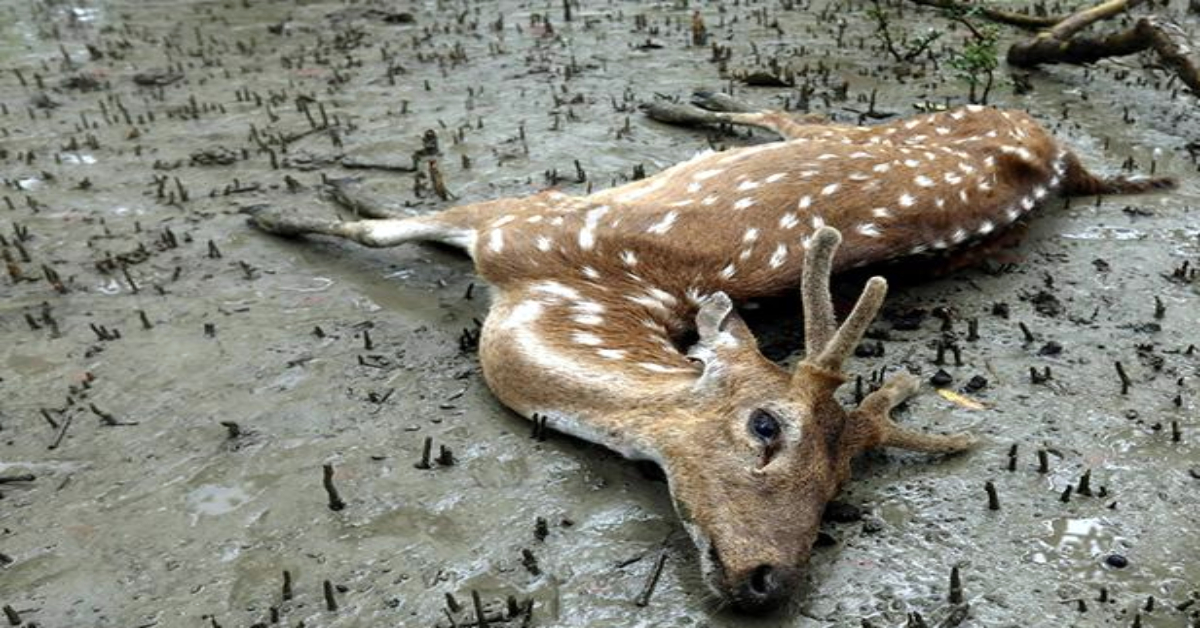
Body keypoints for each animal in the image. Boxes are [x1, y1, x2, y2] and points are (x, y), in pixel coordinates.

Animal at [243, 103, 1171, 614]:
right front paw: (281, 210)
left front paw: (299, 202)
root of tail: (1063, 153)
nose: (768, 579)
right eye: (766, 426)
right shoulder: (526, 216)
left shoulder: (524, 221)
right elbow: (378, 227)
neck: (560, 292)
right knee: (791, 117)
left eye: (841, 487)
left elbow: (386, 225)